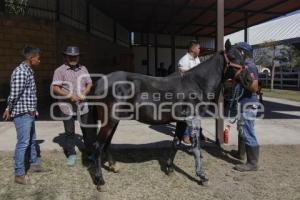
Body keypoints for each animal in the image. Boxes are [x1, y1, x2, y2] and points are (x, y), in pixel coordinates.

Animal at [84, 39, 253, 191]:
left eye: (243, 57)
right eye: (232, 57)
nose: (249, 80)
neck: (197, 84)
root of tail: (100, 82)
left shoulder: (182, 121)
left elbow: (176, 142)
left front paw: (169, 169)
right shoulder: (192, 120)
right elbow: (196, 147)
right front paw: (202, 176)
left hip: (115, 120)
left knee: (106, 143)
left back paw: (114, 167)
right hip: (109, 120)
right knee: (98, 145)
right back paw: (100, 181)